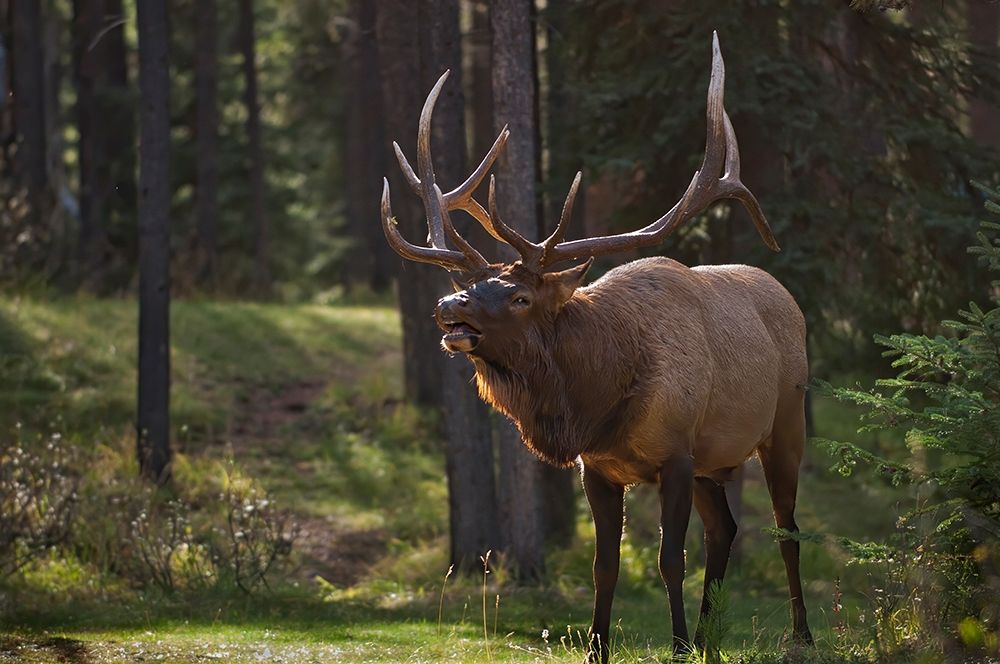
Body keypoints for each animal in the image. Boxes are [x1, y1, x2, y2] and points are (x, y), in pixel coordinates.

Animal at [380, 35, 812, 660]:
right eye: (480, 285)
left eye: (519, 297)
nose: (448, 305)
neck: (599, 400)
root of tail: (790, 301)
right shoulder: (600, 468)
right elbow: (603, 567)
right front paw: (598, 648)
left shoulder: (676, 455)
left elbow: (670, 559)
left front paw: (675, 646)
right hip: (715, 459)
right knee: (726, 530)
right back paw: (710, 641)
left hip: (784, 424)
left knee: (786, 528)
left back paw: (798, 633)